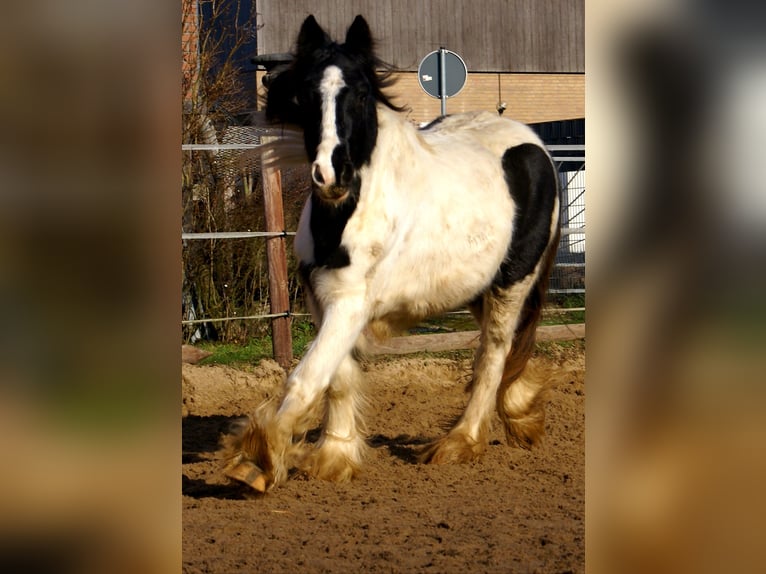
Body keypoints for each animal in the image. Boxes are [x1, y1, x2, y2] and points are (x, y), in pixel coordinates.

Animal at [225, 13, 560, 492]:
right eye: (307, 93)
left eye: (363, 91)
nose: (331, 174)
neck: (345, 216)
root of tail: (532, 142)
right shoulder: (321, 300)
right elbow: (338, 377)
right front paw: (335, 456)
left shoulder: (351, 304)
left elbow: (308, 377)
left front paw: (256, 461)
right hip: (479, 289)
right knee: (503, 353)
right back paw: (517, 416)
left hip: (511, 285)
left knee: (494, 355)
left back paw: (460, 442)